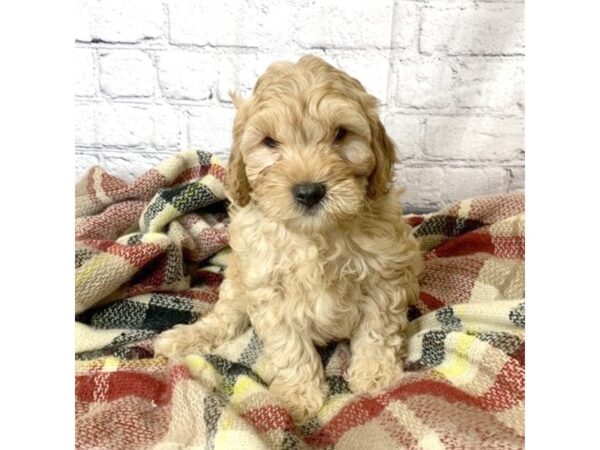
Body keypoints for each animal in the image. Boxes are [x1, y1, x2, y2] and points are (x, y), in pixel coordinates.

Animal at [157, 55, 424, 422]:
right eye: (270, 142)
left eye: (341, 134)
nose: (309, 191)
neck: (315, 236)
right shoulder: (270, 288)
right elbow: (290, 346)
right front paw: (298, 395)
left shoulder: (384, 275)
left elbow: (377, 330)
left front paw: (375, 374)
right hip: (238, 280)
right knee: (226, 316)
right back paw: (186, 337)